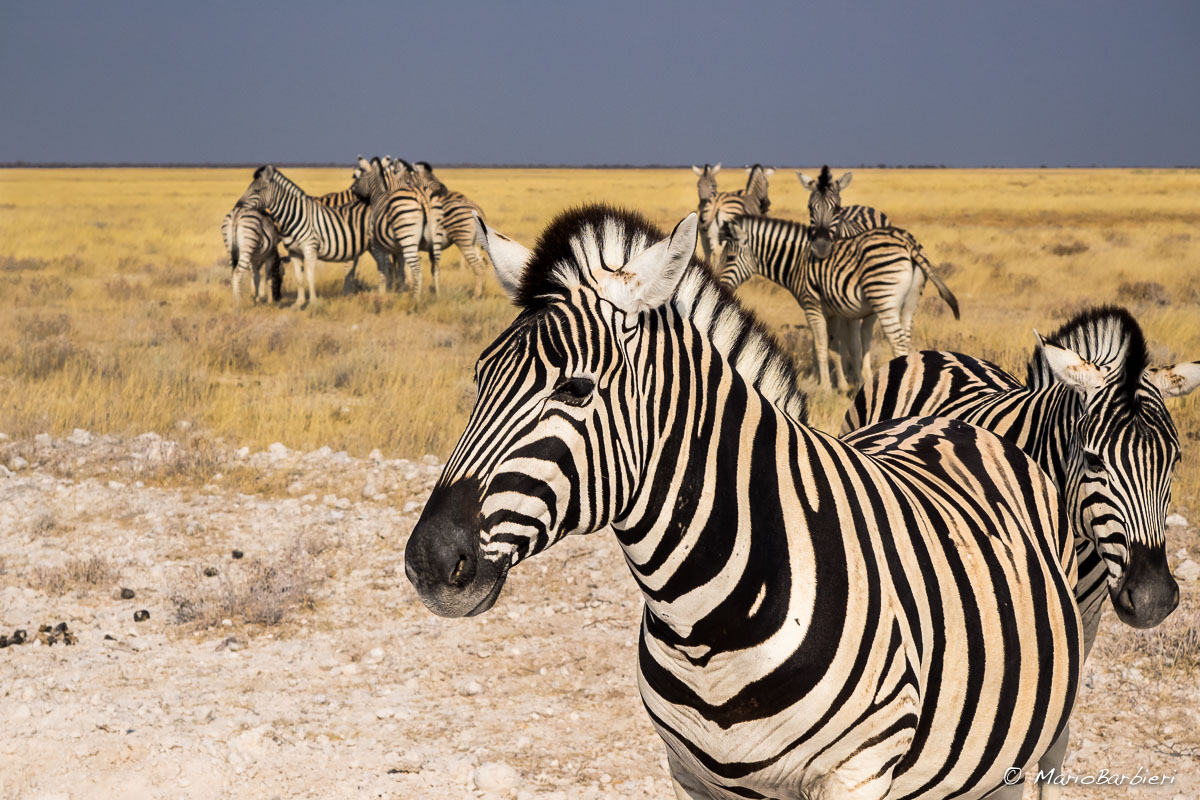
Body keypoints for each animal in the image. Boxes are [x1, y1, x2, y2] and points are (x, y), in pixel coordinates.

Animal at [235, 165, 375, 306]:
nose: (237, 207)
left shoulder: (327, 246)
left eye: (256, 190)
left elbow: (316, 275)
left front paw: (317, 301)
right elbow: (301, 278)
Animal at [412, 161, 491, 296]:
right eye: (430, 177)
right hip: (473, 241)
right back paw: (482, 288)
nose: (444, 189)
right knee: (484, 261)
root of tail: (474, 206)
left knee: (478, 264)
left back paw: (476, 294)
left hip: (463, 238)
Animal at [720, 214, 959, 388]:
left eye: (729, 258)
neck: (797, 263)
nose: (721, 287)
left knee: (898, 341)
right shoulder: (836, 311)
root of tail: (908, 244)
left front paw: (825, 387)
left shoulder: (812, 306)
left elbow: (820, 344)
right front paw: (845, 386)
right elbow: (840, 346)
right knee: (906, 338)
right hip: (910, 301)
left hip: (883, 298)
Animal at [842, 307, 1197, 799]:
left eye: (1176, 460)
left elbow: (1054, 736)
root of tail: (934, 353)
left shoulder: (1085, 618)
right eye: (1094, 460)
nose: (1153, 600)